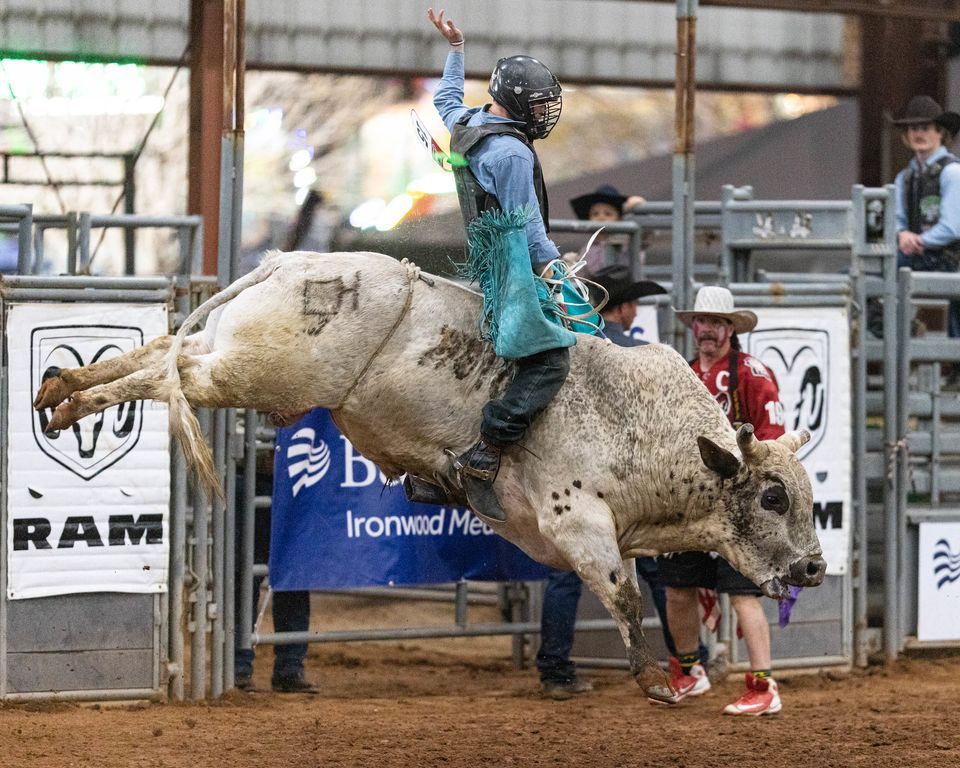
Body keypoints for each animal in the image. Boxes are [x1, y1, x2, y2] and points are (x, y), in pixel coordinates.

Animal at [32, 250, 826, 703]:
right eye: (773, 495)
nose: (816, 568)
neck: (640, 423)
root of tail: (287, 265)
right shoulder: (578, 522)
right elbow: (626, 599)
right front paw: (653, 681)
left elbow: (635, 590)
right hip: (253, 372)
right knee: (176, 371)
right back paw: (69, 395)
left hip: (236, 354)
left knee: (169, 348)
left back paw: (60, 391)